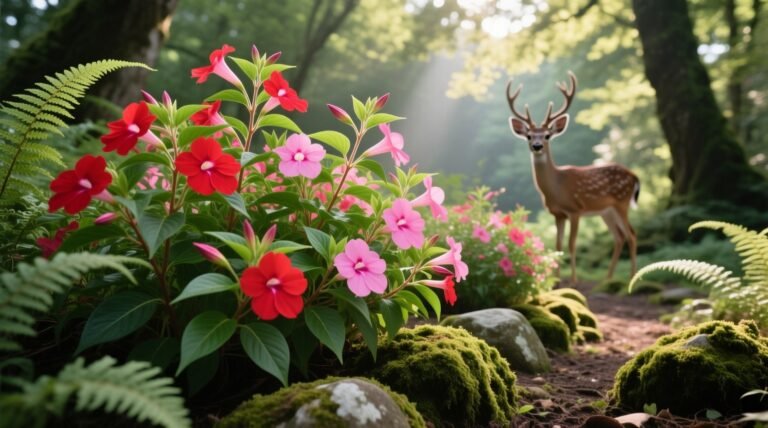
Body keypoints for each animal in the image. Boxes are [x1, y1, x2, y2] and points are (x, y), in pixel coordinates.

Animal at [506, 72, 639, 283]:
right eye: (528, 136)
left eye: (547, 135)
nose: (537, 146)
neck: (556, 189)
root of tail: (634, 176)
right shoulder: (557, 213)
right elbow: (558, 245)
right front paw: (556, 280)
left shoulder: (575, 209)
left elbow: (571, 244)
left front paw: (573, 280)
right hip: (606, 211)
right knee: (619, 237)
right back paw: (608, 279)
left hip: (621, 202)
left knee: (631, 235)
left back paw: (632, 277)